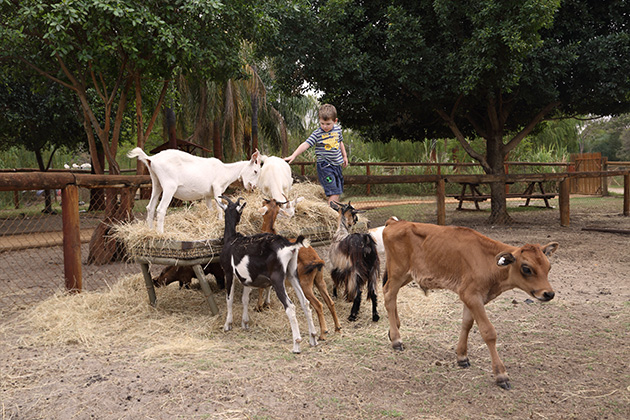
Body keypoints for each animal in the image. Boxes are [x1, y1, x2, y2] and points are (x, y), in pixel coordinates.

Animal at [130, 148, 262, 233]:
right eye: (255, 171)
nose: (254, 187)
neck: (225, 170)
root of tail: (151, 159)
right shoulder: (217, 187)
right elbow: (220, 207)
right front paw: (220, 222)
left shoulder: (208, 194)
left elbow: (210, 209)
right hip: (169, 186)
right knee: (161, 209)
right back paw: (161, 233)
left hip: (156, 184)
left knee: (150, 207)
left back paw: (150, 231)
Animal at [217, 195, 318, 352]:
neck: (231, 239)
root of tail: (290, 246)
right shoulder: (246, 279)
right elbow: (245, 299)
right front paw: (245, 323)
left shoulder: (228, 272)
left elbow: (230, 298)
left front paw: (228, 324)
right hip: (292, 274)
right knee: (305, 303)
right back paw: (313, 338)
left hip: (277, 279)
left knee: (290, 307)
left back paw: (296, 344)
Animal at [260, 199, 344, 340]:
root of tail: (316, 259)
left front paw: (260, 305)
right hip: (319, 281)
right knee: (330, 302)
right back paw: (337, 328)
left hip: (306, 285)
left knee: (318, 305)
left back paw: (323, 333)